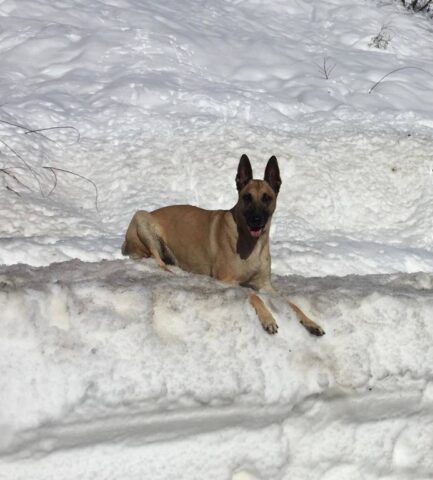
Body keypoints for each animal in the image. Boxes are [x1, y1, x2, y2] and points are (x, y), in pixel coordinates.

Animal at [121, 156, 324, 336]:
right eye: (247, 197)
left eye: (267, 198)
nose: (256, 220)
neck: (251, 243)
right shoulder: (227, 280)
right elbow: (253, 295)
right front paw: (268, 319)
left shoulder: (266, 285)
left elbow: (290, 302)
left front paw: (311, 322)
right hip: (142, 218)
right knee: (157, 260)